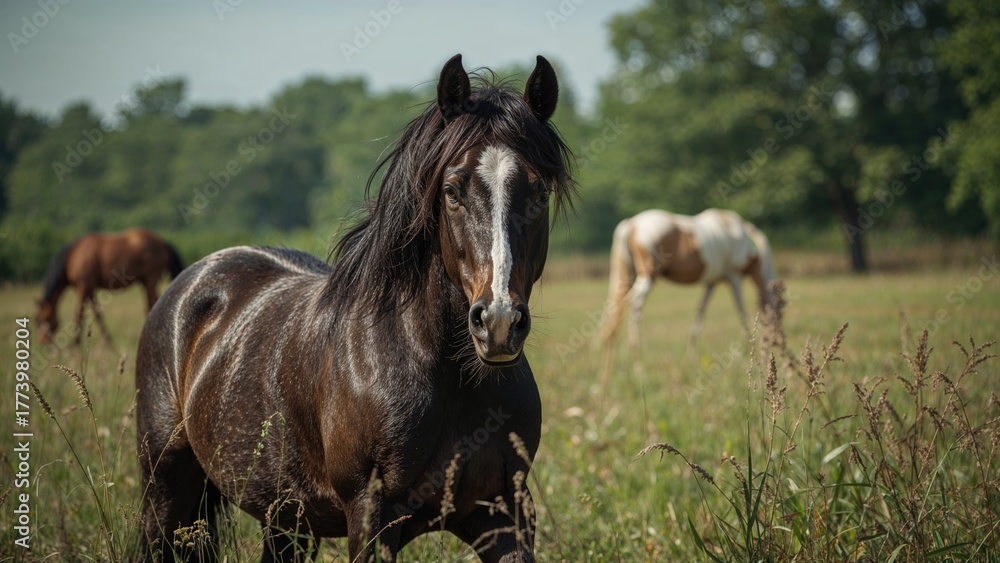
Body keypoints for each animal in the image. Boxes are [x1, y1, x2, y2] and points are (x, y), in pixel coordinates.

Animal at [35, 229, 184, 345]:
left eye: (42, 319)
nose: (42, 341)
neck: (74, 256)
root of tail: (163, 242)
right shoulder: (90, 289)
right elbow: (98, 315)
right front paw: (108, 342)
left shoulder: (83, 286)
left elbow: (79, 313)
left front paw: (75, 344)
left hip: (151, 279)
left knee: (153, 304)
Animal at [135, 54, 573, 562]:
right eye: (452, 191)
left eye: (540, 194)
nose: (499, 323)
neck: (450, 377)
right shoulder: (370, 516)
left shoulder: (505, 513)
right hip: (165, 492)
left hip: (286, 519)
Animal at [597, 208, 777, 375]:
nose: (775, 343)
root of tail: (631, 224)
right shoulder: (734, 278)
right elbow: (743, 316)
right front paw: (752, 352)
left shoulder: (711, 283)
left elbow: (699, 316)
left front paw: (689, 359)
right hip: (648, 275)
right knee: (632, 305)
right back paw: (636, 365)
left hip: (629, 275)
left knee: (617, 310)